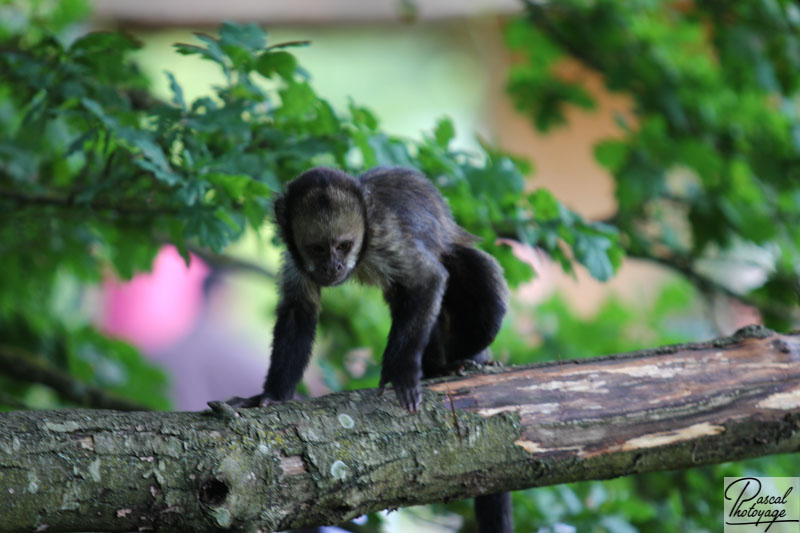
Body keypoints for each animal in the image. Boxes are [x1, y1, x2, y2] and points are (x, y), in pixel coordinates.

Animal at [228, 166, 510, 532]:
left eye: (343, 245)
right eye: (317, 249)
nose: (333, 267)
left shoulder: (384, 236)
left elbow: (429, 279)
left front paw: (400, 370)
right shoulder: (295, 256)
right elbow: (298, 311)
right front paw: (272, 395)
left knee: (471, 268)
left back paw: (453, 365)